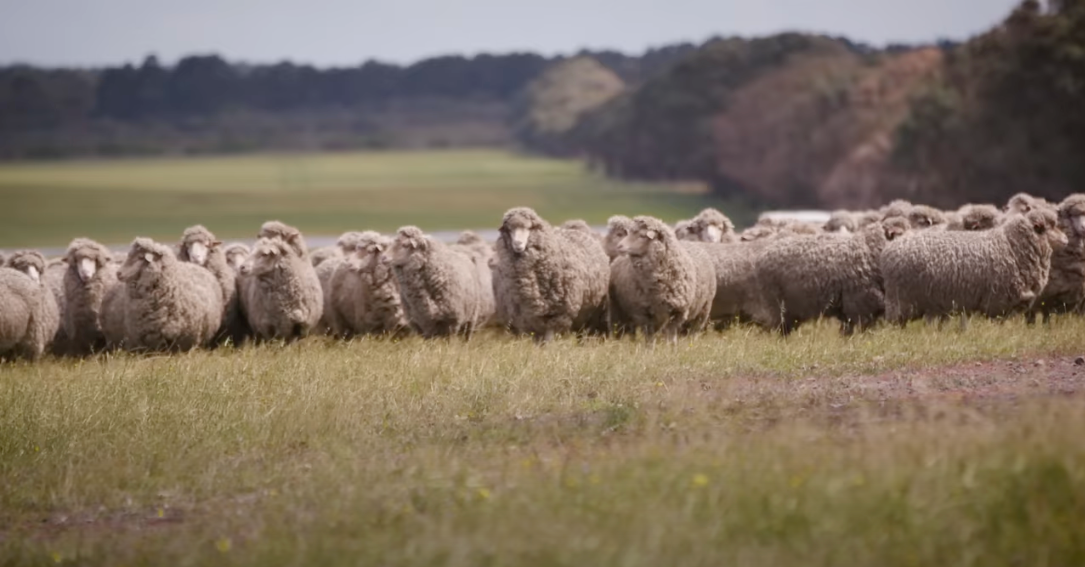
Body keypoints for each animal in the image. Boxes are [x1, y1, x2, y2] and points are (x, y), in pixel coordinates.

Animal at [496, 207, 616, 344]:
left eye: (529, 227)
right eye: (509, 229)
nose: (518, 244)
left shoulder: (558, 313)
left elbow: (549, 341)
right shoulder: (529, 318)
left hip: (592, 311)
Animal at [616, 215, 716, 344]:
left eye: (642, 236)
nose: (619, 246)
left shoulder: (678, 311)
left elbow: (671, 336)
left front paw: (671, 348)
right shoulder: (643, 312)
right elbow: (650, 339)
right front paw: (650, 349)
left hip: (704, 308)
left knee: (695, 330)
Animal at [750, 216, 911, 336]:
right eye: (901, 233)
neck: (870, 250)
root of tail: (761, 257)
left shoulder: (850, 308)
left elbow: (847, 331)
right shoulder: (860, 304)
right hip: (777, 306)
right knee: (778, 330)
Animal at [881, 208, 1067, 325]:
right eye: (1051, 226)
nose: (1066, 239)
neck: (1013, 246)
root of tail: (890, 249)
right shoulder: (997, 300)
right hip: (901, 300)